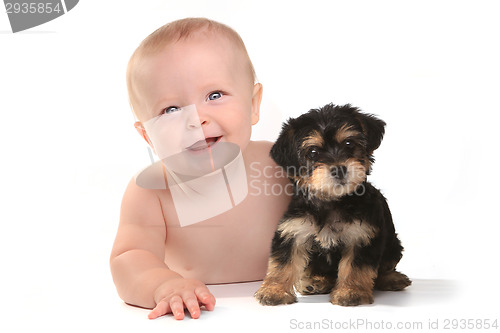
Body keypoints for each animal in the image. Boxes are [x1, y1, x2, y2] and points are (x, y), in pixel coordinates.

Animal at [256, 103, 412, 306]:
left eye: (349, 144)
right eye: (313, 152)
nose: (339, 169)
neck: (332, 201)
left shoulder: (362, 236)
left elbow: (356, 267)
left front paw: (351, 291)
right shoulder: (293, 230)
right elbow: (282, 262)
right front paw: (274, 290)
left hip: (393, 245)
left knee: (386, 266)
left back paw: (392, 279)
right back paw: (316, 282)